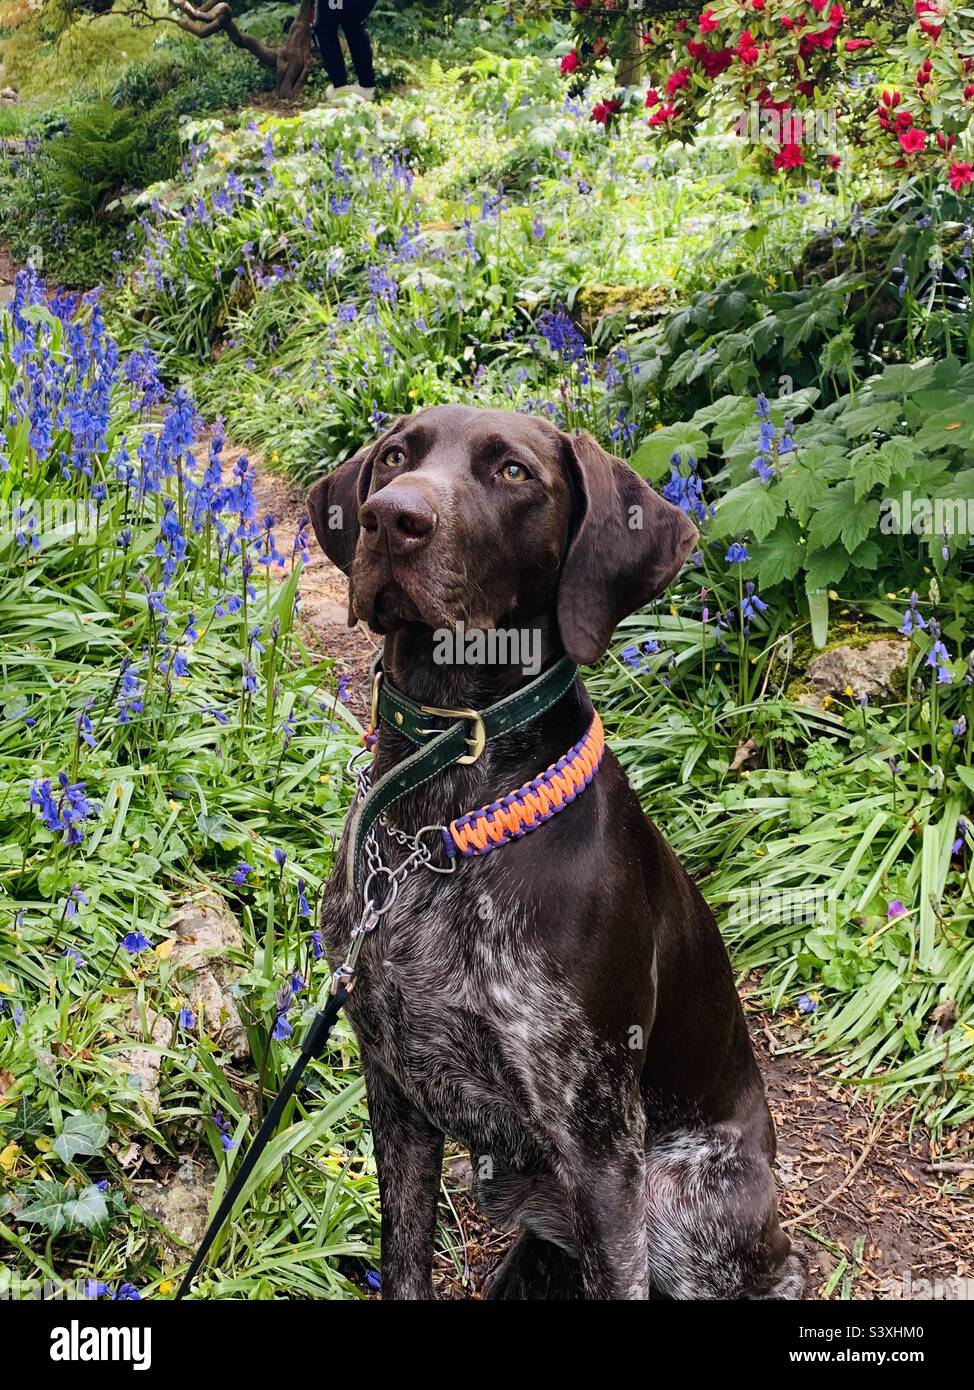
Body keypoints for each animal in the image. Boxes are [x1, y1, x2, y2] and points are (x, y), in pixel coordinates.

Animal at [307, 405, 800, 1301]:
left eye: (514, 473)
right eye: (394, 456)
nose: (391, 517)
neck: (442, 814)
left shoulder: (599, 1148)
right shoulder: (394, 1094)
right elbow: (404, 1263)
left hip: (679, 1203)